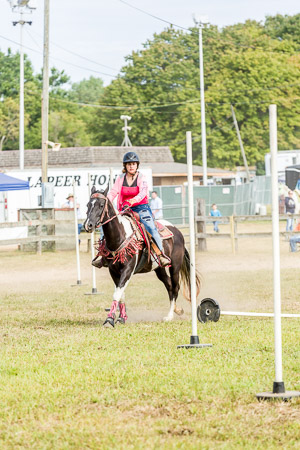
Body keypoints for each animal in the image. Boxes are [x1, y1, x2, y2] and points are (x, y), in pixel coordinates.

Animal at [83, 184, 200, 326]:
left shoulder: (128, 269)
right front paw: (121, 318)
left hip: (175, 267)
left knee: (175, 287)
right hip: (159, 269)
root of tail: (177, 231)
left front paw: (109, 320)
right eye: (88, 204)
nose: (88, 225)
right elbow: (121, 294)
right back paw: (178, 310)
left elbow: (117, 294)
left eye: (101, 205)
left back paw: (170, 315)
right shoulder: (113, 271)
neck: (120, 236)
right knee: (169, 286)